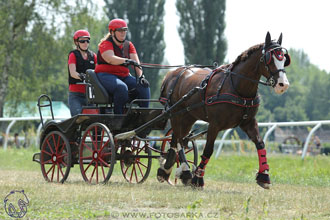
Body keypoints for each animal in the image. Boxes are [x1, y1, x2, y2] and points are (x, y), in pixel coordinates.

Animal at [158, 31, 292, 188]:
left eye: (284, 59)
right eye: (269, 59)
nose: (283, 84)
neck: (236, 87)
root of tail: (172, 74)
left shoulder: (248, 122)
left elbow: (260, 143)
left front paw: (264, 175)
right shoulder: (214, 125)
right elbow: (208, 150)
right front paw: (198, 178)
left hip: (188, 116)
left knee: (178, 138)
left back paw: (173, 170)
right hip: (175, 113)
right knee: (179, 139)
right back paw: (182, 170)